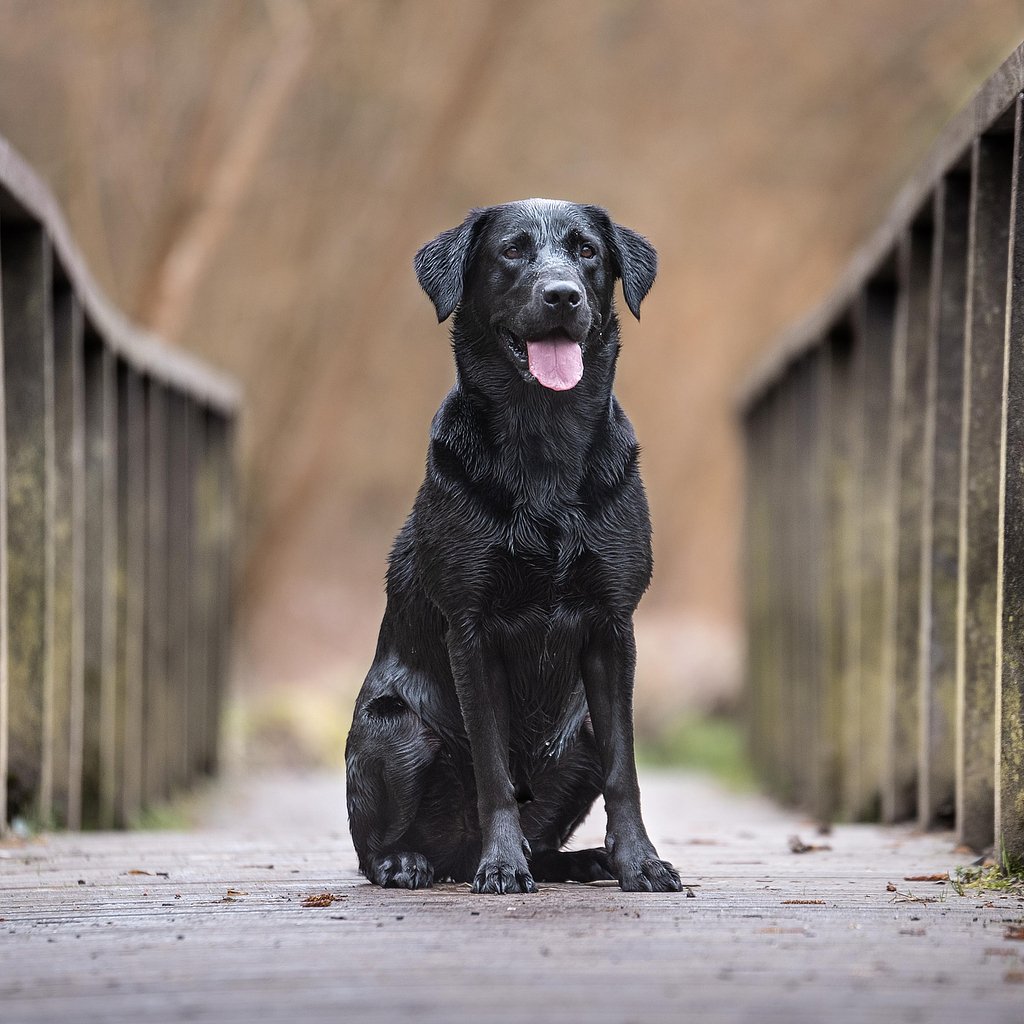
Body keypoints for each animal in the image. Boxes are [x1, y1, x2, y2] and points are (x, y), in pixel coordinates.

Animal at [348, 195, 684, 892]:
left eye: (586, 250)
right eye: (511, 250)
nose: (562, 295)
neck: (545, 441)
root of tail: (451, 858)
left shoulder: (613, 627)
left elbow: (626, 771)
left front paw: (639, 862)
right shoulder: (472, 630)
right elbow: (494, 770)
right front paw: (502, 865)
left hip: (578, 734)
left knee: (552, 835)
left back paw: (584, 860)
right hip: (395, 727)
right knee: (374, 850)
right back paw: (410, 862)